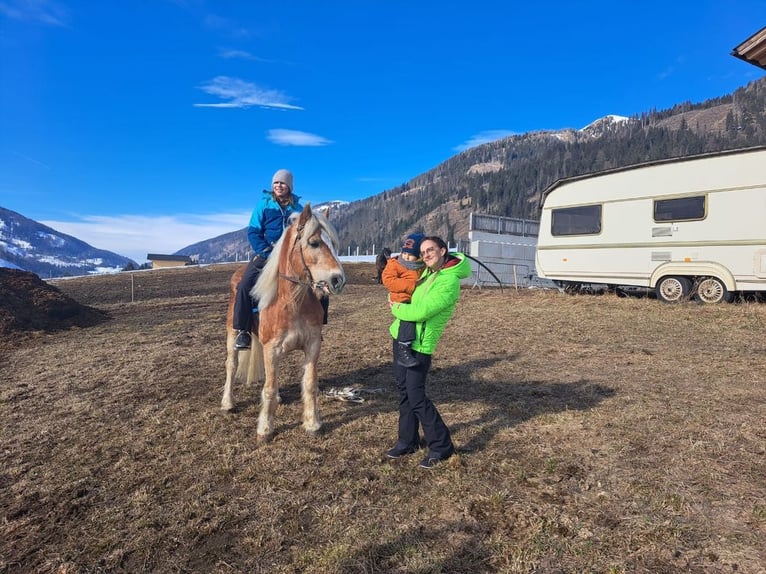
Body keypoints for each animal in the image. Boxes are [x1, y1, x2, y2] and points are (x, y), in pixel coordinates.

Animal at [222, 205, 348, 444]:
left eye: (334, 244)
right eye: (314, 243)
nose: (338, 280)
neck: (292, 302)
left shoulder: (312, 346)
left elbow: (309, 383)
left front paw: (312, 423)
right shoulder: (271, 349)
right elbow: (269, 388)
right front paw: (265, 429)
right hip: (232, 333)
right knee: (231, 365)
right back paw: (227, 403)